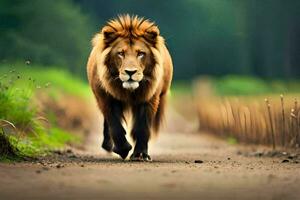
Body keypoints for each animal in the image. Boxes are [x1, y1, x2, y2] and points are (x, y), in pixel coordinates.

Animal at [86, 14, 173, 161]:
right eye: (120, 53)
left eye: (141, 53)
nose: (130, 72)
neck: (129, 91)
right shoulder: (106, 98)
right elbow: (115, 126)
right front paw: (123, 149)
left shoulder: (149, 98)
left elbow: (143, 128)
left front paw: (140, 154)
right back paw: (107, 145)